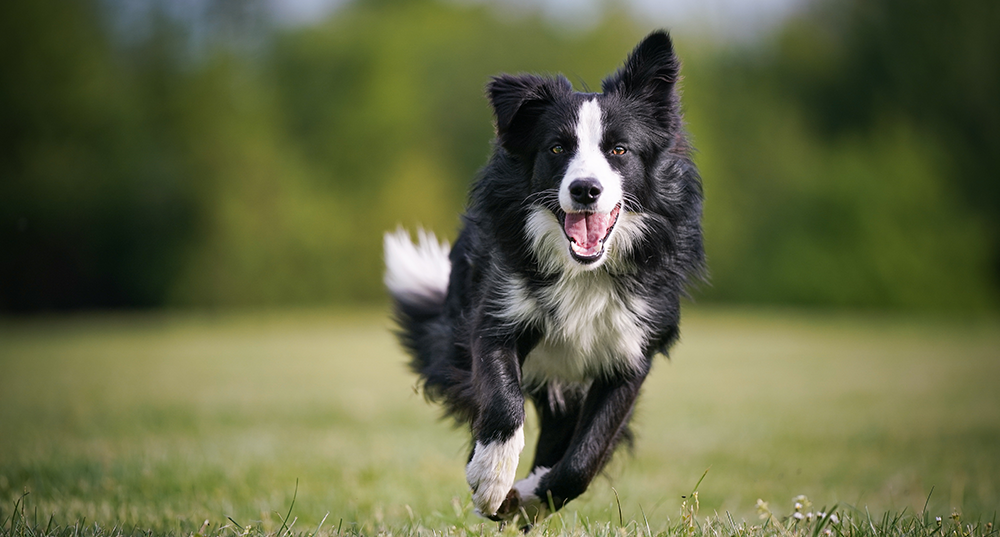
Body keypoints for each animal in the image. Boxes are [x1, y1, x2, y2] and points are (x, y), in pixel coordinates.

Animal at [382, 28, 704, 520]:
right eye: (557, 147)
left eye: (619, 150)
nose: (585, 190)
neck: (584, 272)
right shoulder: (496, 315)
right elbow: (502, 401)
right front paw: (492, 479)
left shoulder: (632, 353)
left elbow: (585, 455)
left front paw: (533, 496)